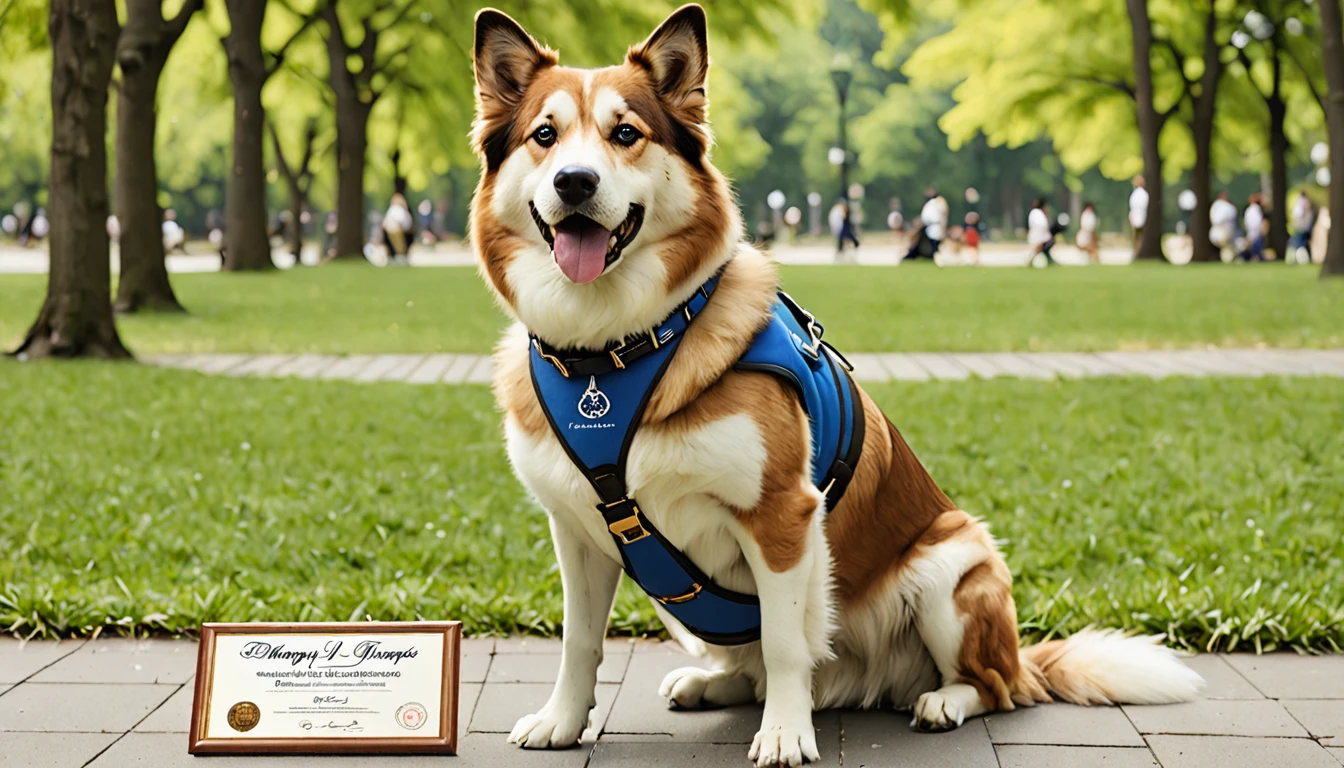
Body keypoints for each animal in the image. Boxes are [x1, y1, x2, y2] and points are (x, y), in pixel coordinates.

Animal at [467, 4, 1204, 763]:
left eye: (625, 134)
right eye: (545, 136)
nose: (575, 182)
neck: (617, 352)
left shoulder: (783, 517)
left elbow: (787, 643)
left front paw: (787, 734)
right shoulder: (577, 530)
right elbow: (579, 641)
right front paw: (561, 721)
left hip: (952, 565)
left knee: (994, 687)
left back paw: (943, 700)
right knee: (754, 669)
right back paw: (710, 683)